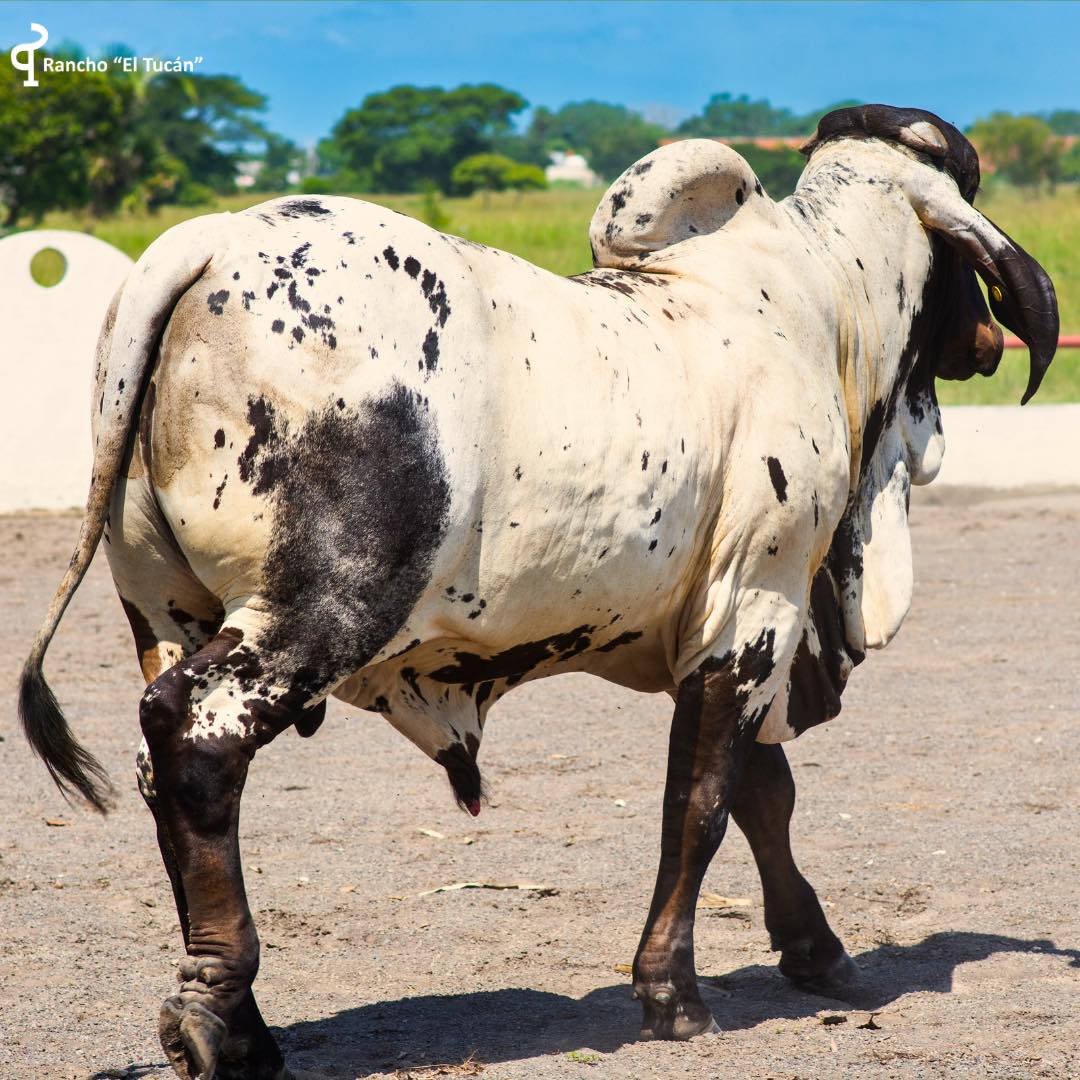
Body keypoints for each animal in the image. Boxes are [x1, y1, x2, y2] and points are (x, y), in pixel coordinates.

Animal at [21, 103, 1058, 1080]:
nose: (987, 341)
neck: (822, 309)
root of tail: (209, 240)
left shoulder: (733, 627)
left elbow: (762, 794)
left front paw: (816, 951)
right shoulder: (756, 607)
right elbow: (703, 803)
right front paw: (672, 994)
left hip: (166, 611)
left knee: (167, 766)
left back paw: (237, 1020)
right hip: (314, 614)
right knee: (194, 741)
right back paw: (218, 1022)